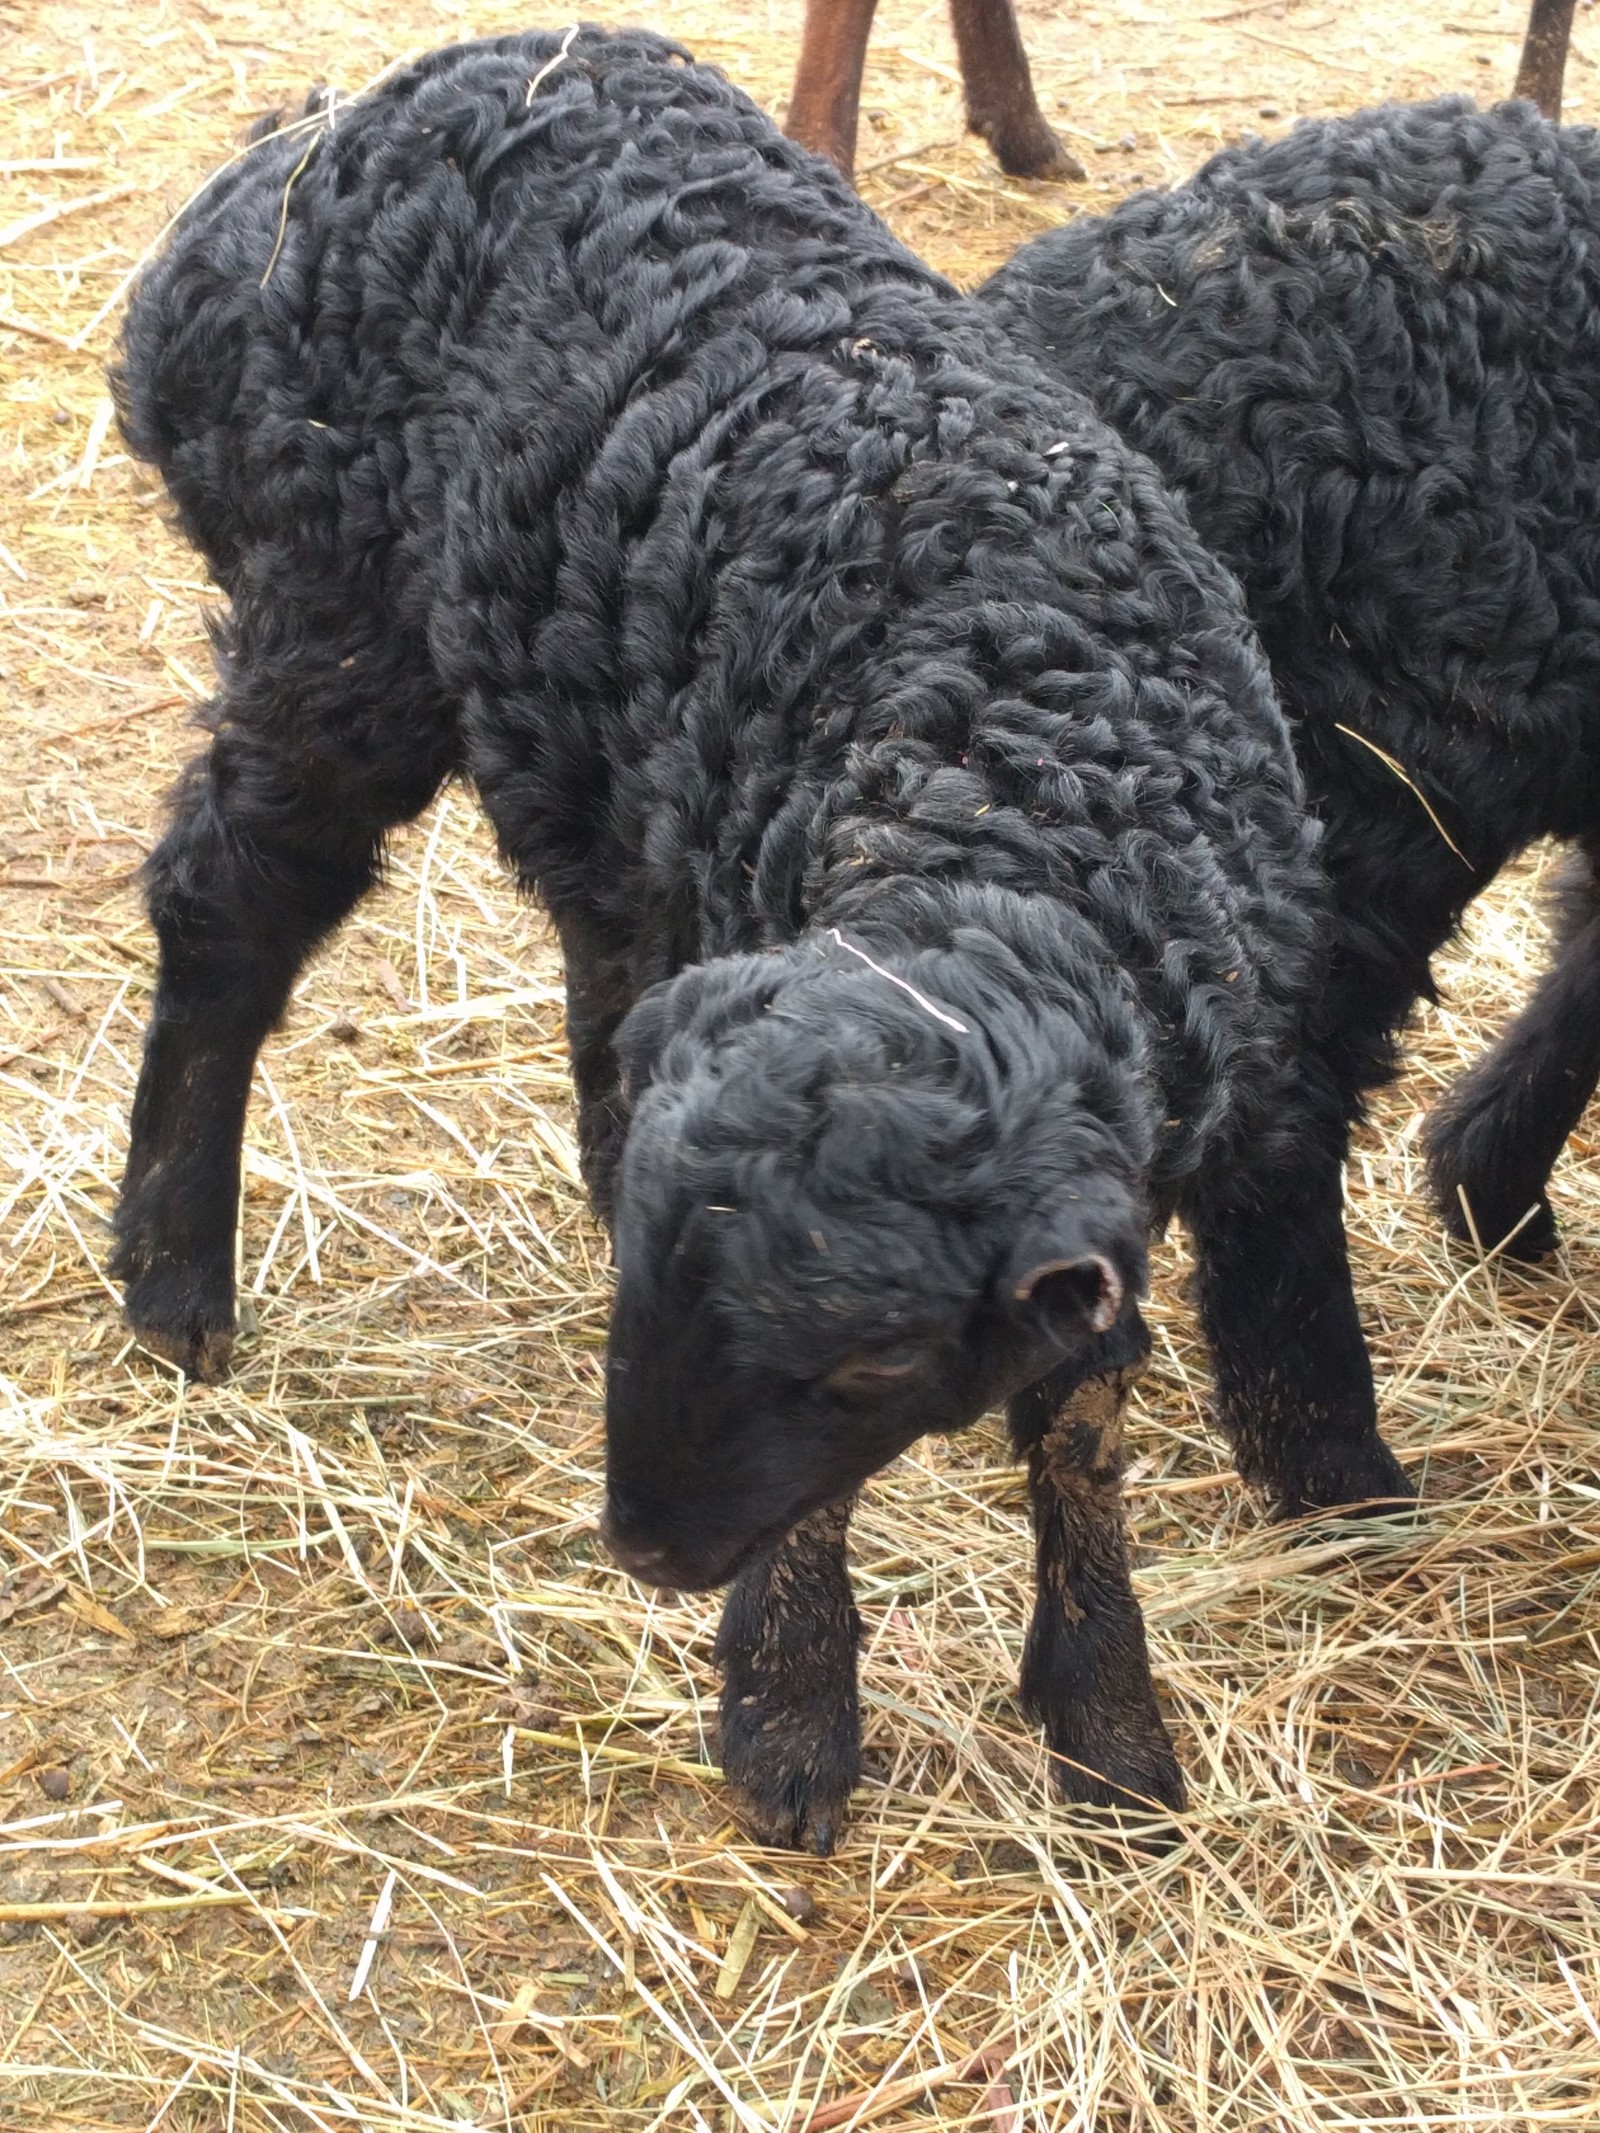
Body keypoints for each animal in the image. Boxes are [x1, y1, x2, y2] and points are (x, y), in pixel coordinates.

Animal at [109, 25, 1399, 1851]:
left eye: (870, 1367)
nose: (646, 1544)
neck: (1000, 756)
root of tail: (282, 161)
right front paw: (788, 1719)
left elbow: (1080, 1415)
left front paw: (1112, 1732)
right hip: (332, 617)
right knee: (225, 900)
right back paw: (174, 1277)